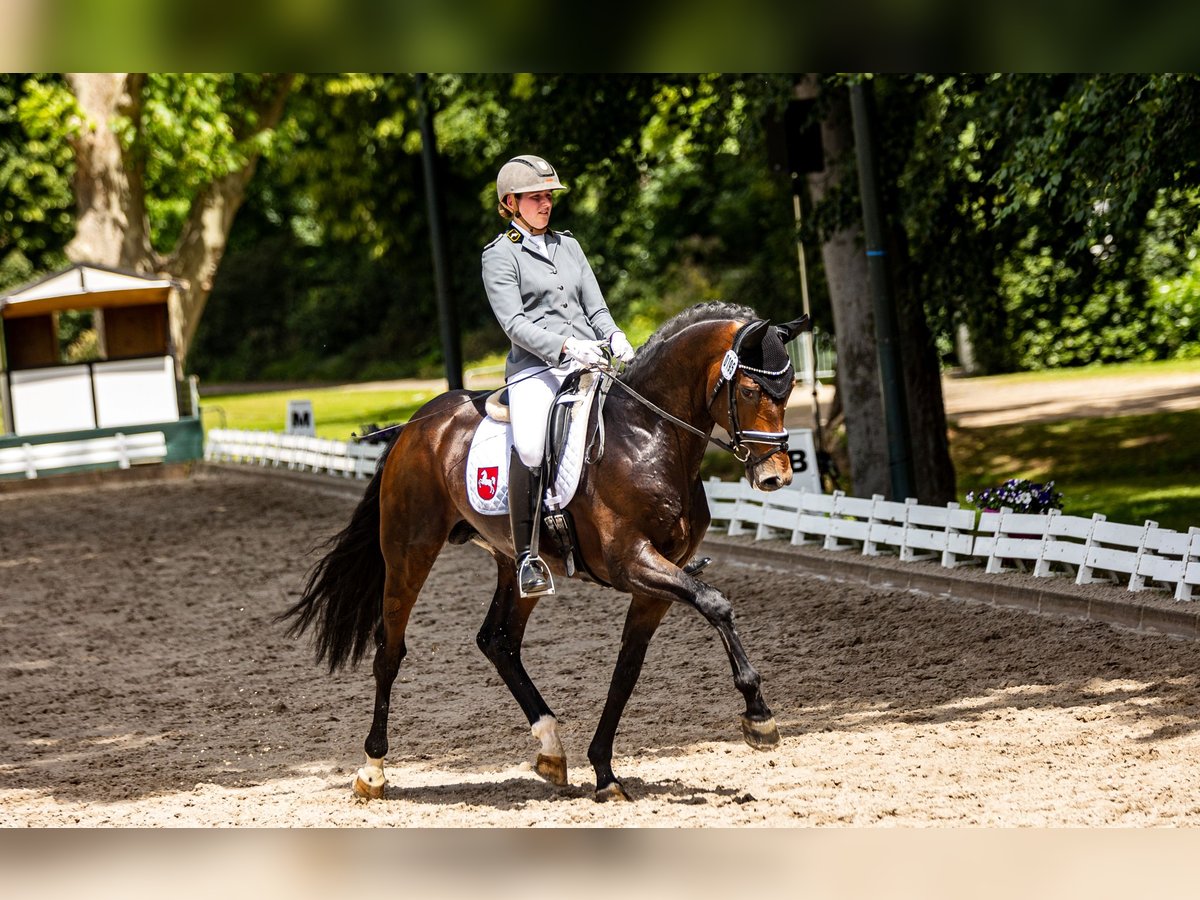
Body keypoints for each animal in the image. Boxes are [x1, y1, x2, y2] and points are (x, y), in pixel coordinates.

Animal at [279, 303, 806, 801]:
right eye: (750, 390)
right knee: (391, 650)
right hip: (410, 551)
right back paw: (372, 771)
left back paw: (551, 748)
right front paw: (758, 715)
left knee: (498, 641)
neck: (649, 436)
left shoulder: (658, 579)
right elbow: (716, 603)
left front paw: (604, 773)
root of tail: (415, 425)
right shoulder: (633, 563)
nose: (776, 476)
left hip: (516, 564)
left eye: (790, 388)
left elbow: (627, 669)